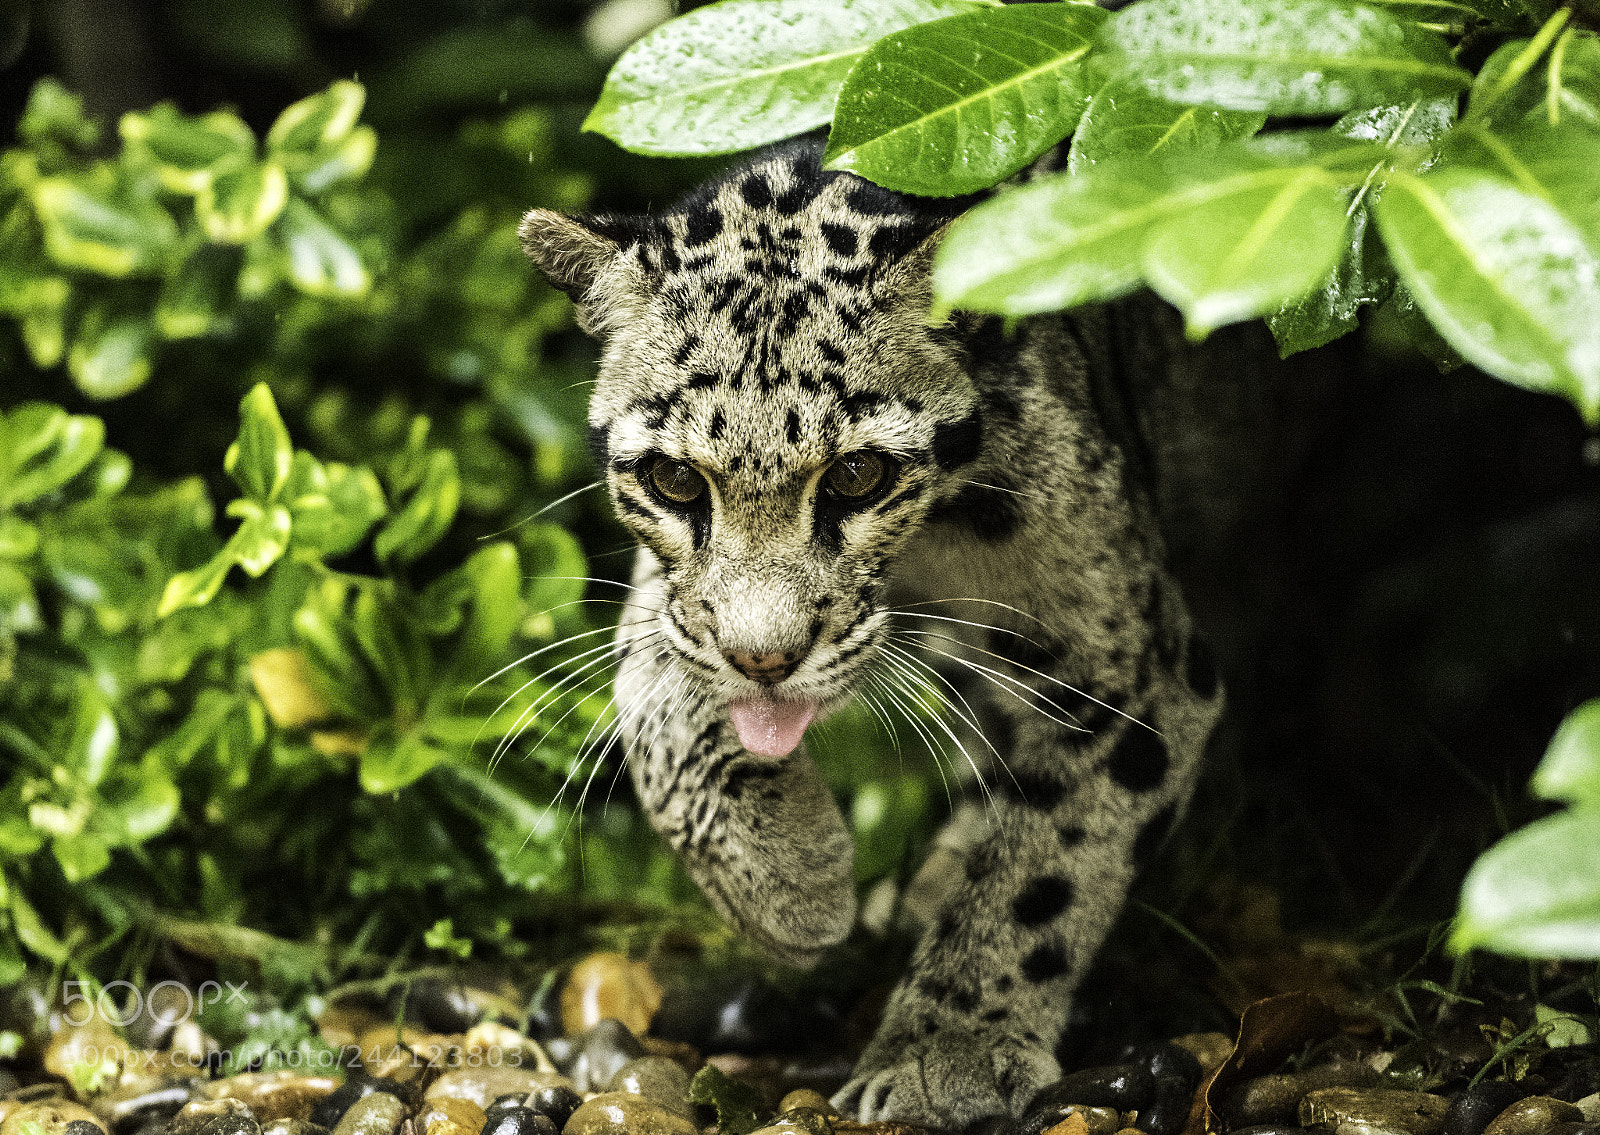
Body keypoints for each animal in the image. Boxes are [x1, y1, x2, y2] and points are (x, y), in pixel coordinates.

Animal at [519, 136, 1273, 1130]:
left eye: (858, 475)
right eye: (675, 481)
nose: (766, 659)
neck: (929, 540)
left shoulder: (1133, 667)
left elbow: (1047, 864)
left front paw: (947, 1048)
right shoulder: (674, 597)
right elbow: (653, 696)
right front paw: (789, 880)